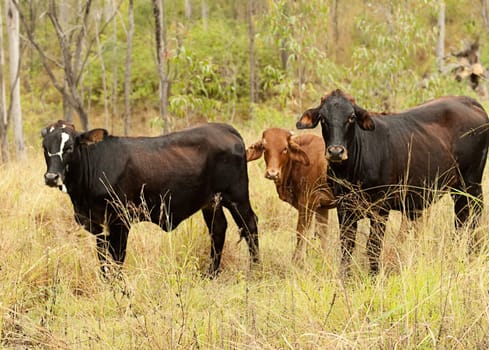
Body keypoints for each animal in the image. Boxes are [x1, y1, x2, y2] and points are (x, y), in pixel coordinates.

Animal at [41, 120, 260, 276]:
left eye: (69, 147)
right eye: (44, 147)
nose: (51, 177)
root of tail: (224, 128)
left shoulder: (120, 220)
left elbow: (117, 258)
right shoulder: (98, 224)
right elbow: (103, 259)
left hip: (237, 196)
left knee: (250, 225)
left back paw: (255, 270)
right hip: (211, 201)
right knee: (218, 228)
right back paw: (211, 273)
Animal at [298, 89, 488, 274]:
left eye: (351, 117)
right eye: (323, 118)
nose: (336, 151)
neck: (349, 173)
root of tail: (468, 101)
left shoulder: (381, 208)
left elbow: (373, 247)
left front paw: (374, 277)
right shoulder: (344, 208)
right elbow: (347, 246)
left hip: (471, 184)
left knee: (473, 219)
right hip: (457, 189)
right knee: (461, 221)